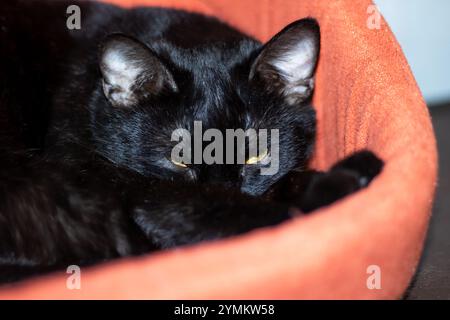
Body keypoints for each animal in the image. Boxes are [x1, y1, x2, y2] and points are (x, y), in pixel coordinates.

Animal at [0, 0, 384, 282]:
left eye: (257, 155)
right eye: (179, 159)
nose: (225, 187)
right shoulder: (149, 196)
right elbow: (261, 214)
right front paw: (344, 179)